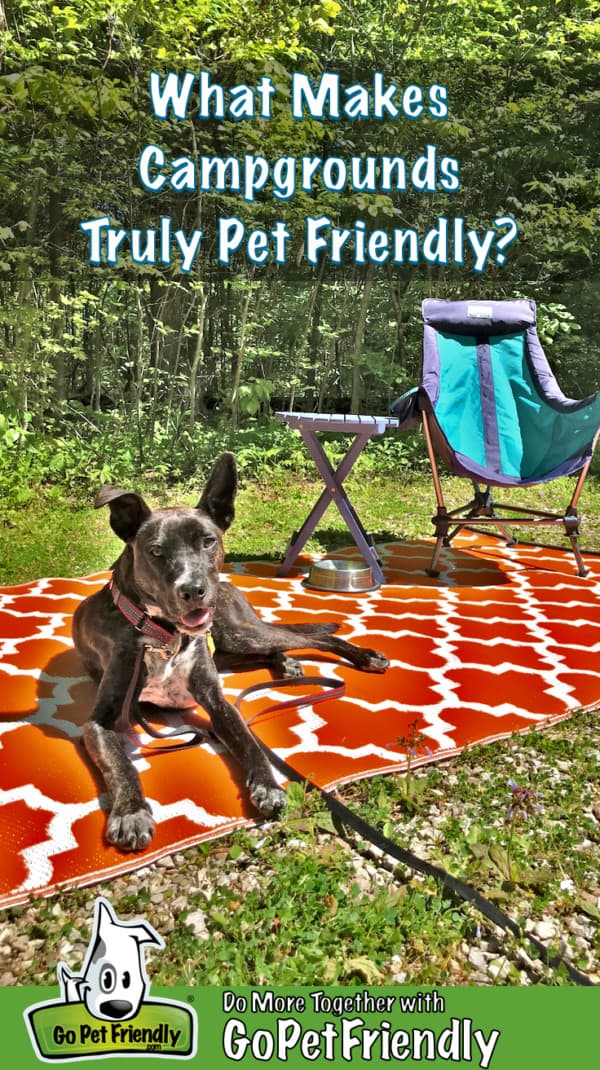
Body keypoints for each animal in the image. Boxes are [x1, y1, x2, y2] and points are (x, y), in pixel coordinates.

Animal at [73, 453, 389, 851]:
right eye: (156, 551)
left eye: (208, 541)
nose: (194, 591)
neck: (162, 635)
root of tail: (229, 587)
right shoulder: (100, 721)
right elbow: (120, 764)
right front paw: (131, 812)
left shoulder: (216, 698)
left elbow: (248, 741)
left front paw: (267, 785)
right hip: (229, 650)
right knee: (278, 648)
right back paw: (287, 665)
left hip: (240, 634)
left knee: (311, 638)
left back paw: (362, 656)